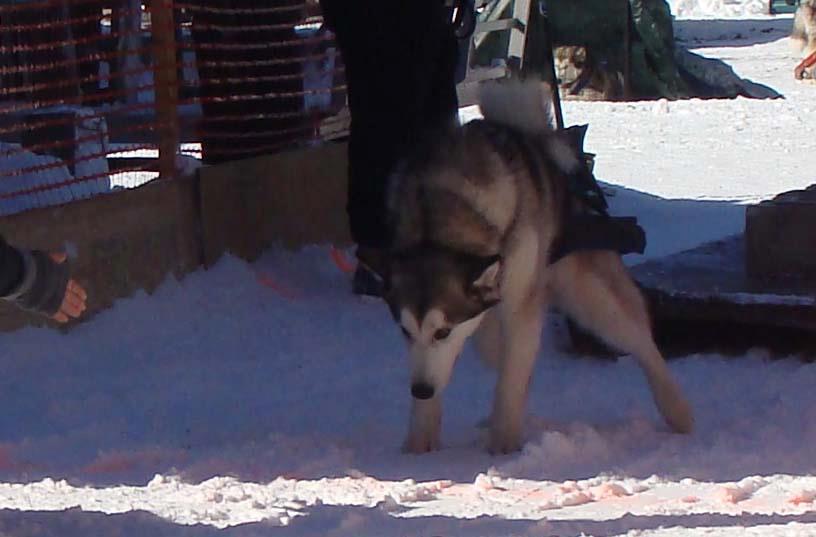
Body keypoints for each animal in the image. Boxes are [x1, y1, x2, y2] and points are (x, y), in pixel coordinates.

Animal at [370, 78, 696, 452]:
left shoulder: (519, 307)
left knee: (642, 342)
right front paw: (419, 445)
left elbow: (512, 375)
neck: (435, 216)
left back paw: (676, 409)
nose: (420, 390)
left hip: (591, 295)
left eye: (442, 331)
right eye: (404, 331)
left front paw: (504, 445)